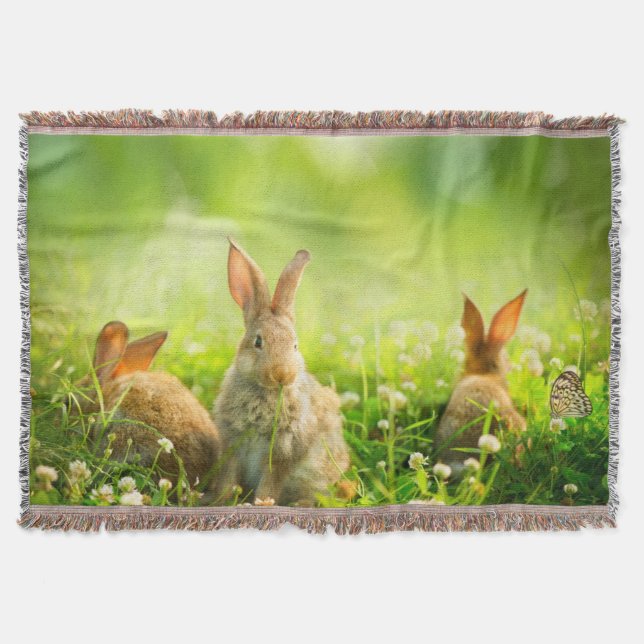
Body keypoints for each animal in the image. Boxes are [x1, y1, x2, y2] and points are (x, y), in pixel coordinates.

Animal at [213, 238, 350, 506]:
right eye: (258, 342)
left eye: (295, 345)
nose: (282, 375)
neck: (267, 392)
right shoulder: (232, 444)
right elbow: (227, 478)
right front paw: (220, 501)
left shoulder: (283, 453)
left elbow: (270, 483)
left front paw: (261, 503)